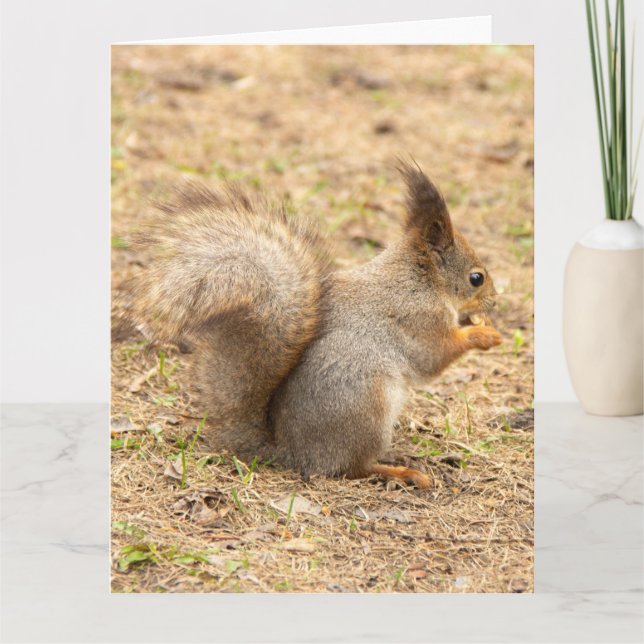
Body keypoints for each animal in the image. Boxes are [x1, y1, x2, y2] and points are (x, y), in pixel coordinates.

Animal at [132, 160, 501, 488]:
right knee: (353, 468)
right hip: (366, 407)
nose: (495, 302)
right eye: (476, 278)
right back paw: (401, 472)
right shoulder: (419, 319)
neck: (419, 280)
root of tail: (293, 454)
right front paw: (484, 334)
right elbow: (434, 357)